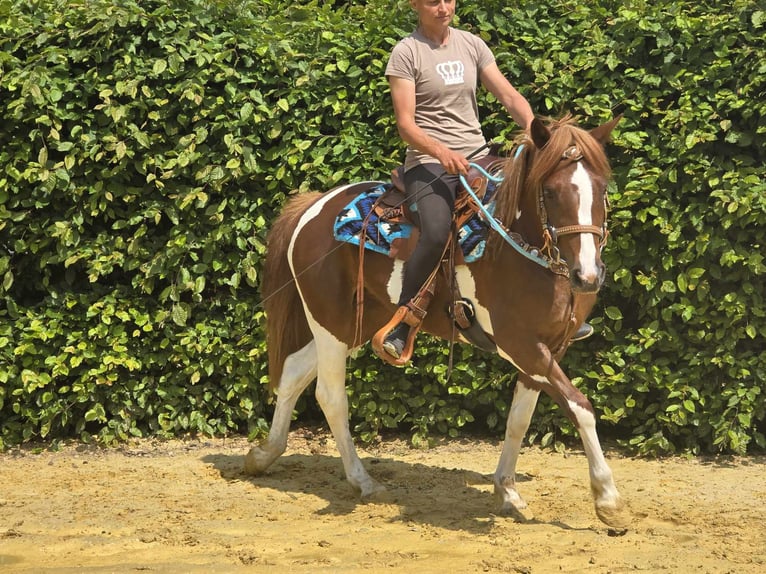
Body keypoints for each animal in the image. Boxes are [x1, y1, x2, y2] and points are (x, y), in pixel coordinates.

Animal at [245, 114, 629, 530]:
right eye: (552, 192)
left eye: (602, 189)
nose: (587, 276)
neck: (515, 248)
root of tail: (312, 207)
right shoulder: (522, 345)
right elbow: (580, 408)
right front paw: (607, 499)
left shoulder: (546, 348)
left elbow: (519, 419)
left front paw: (507, 491)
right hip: (329, 321)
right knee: (330, 396)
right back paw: (363, 482)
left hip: (356, 324)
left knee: (293, 371)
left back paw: (264, 454)